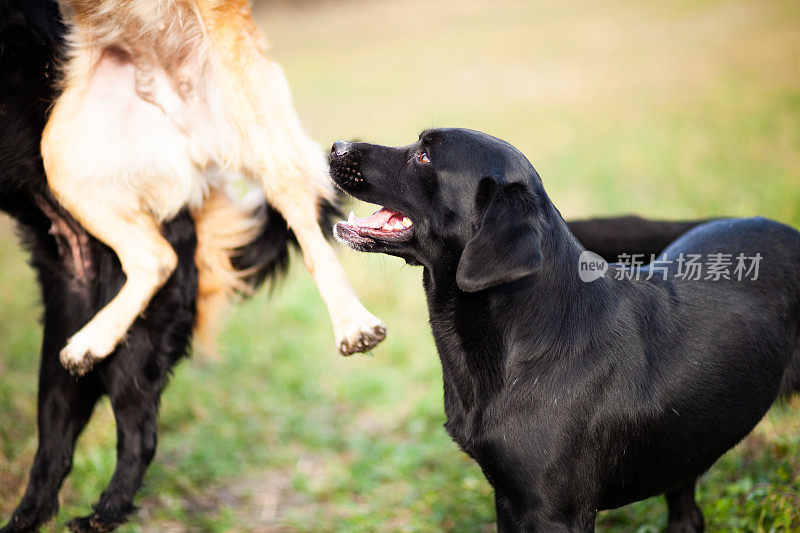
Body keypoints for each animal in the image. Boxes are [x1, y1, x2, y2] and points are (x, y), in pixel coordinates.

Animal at [42, 0, 386, 374]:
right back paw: (91, 342)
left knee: (310, 235)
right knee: (157, 258)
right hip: (63, 161)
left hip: (246, 111)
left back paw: (353, 324)